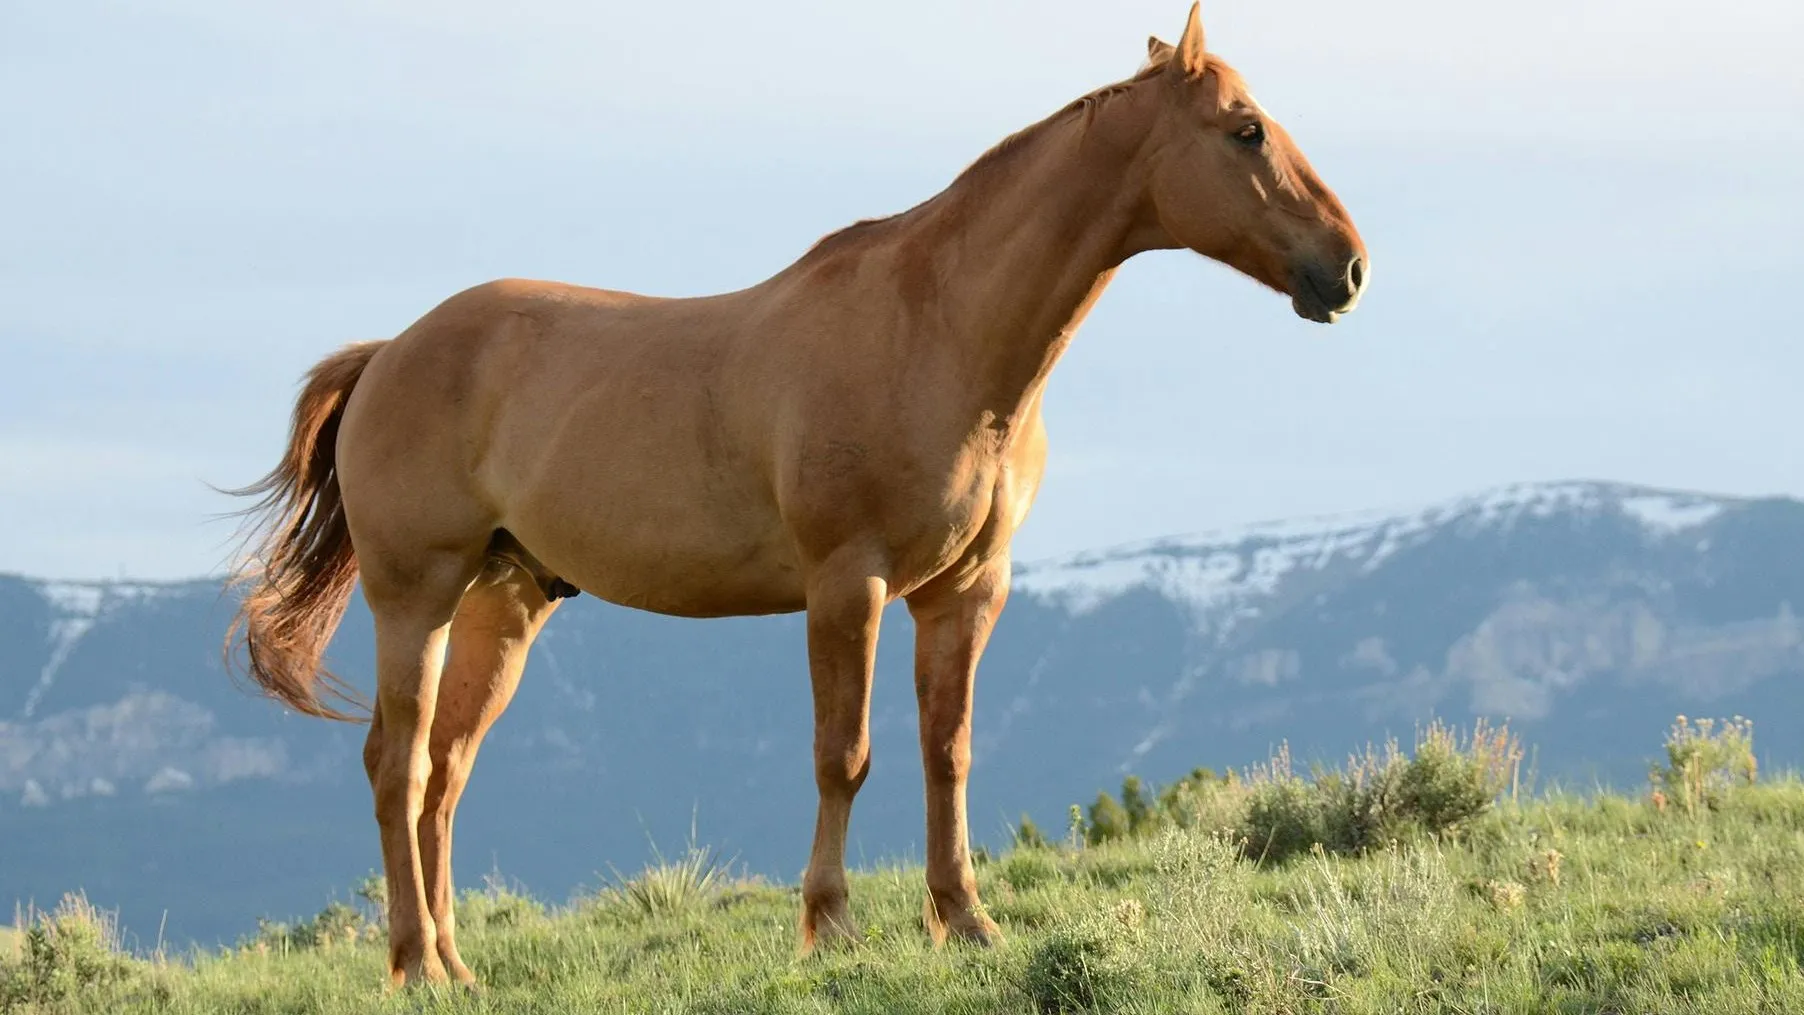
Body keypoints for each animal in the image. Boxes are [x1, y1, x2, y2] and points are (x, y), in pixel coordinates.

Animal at [232, 5, 1363, 995]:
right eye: (1245, 128)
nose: (1346, 267)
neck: (938, 331)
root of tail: (390, 352)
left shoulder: (967, 591)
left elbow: (946, 752)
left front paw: (966, 920)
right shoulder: (846, 585)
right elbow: (843, 756)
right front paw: (832, 926)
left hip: (501, 603)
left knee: (444, 772)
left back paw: (456, 963)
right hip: (415, 596)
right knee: (397, 765)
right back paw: (415, 962)